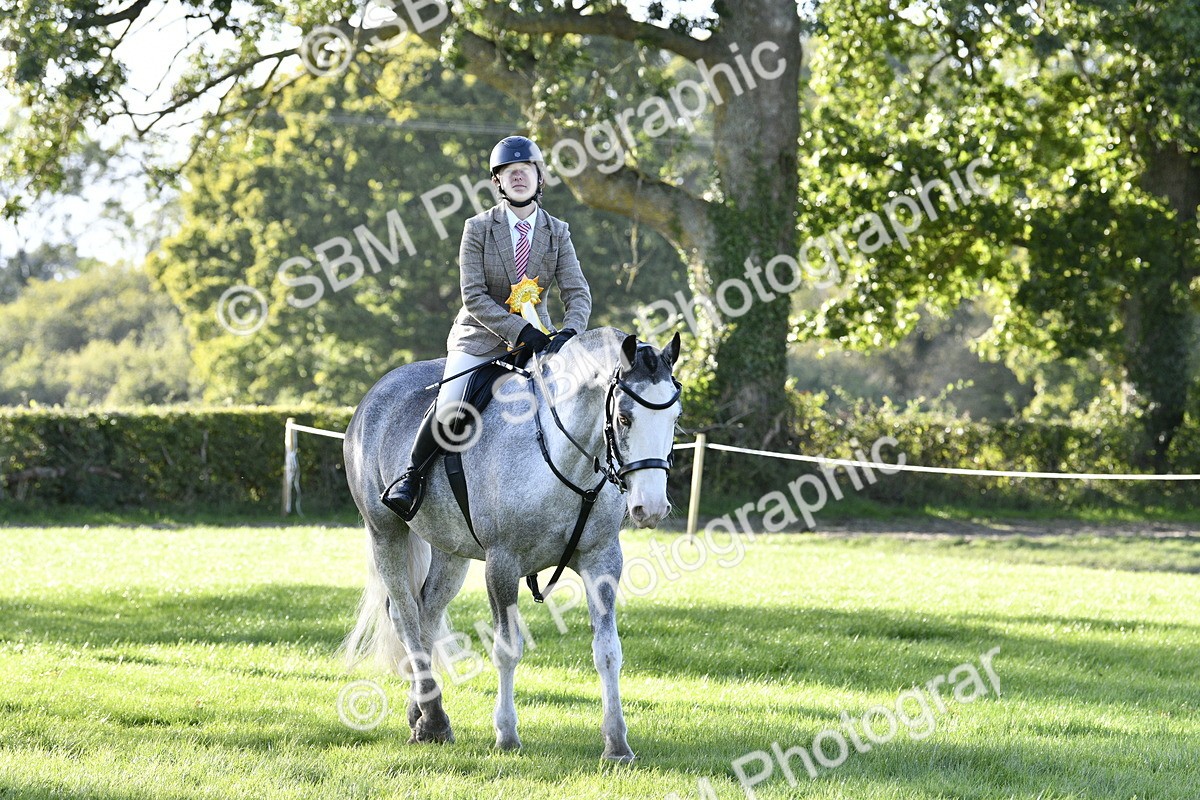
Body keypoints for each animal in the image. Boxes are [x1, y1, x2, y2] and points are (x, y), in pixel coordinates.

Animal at [342, 327, 683, 761]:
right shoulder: (502, 565)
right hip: (385, 534)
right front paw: (506, 734)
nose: (651, 507)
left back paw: (423, 713)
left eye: (675, 417)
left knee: (426, 615)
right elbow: (507, 648)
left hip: (451, 552)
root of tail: (377, 392)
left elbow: (607, 651)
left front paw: (617, 742)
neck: (560, 456)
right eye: (624, 417)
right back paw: (433, 719)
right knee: (404, 615)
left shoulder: (602, 561)